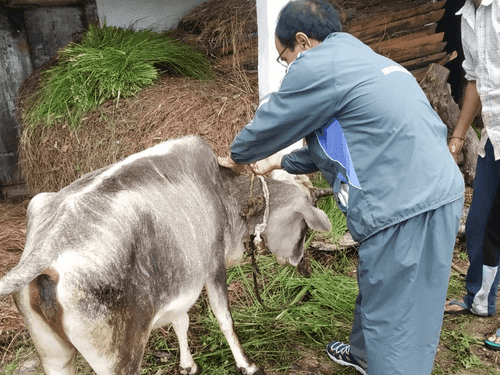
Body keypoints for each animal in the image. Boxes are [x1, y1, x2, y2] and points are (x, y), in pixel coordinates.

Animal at [0, 136, 336, 375]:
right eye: (304, 227)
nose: (299, 262)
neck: (225, 191)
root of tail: (49, 246)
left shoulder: (180, 279)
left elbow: (181, 320)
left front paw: (188, 366)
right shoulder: (213, 266)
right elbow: (224, 318)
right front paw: (248, 365)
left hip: (53, 354)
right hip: (118, 358)